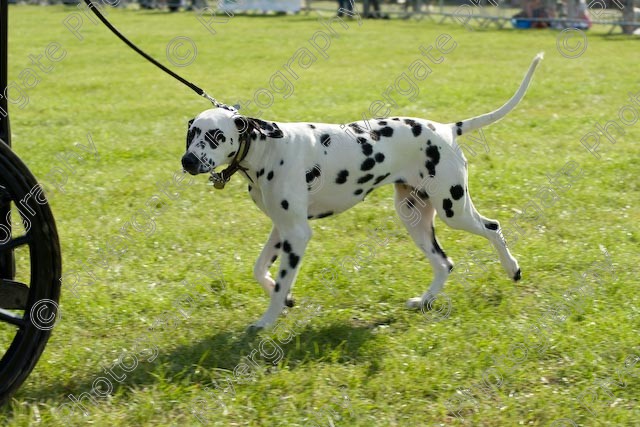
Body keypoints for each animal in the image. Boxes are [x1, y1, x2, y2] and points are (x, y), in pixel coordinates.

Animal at [182, 53, 544, 332]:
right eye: (192, 134)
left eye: (215, 136)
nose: (187, 161)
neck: (268, 149)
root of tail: (447, 129)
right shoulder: (281, 229)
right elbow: (260, 270)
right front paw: (284, 299)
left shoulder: (297, 234)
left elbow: (282, 280)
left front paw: (267, 320)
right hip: (415, 217)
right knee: (444, 263)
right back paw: (424, 301)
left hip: (453, 210)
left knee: (493, 228)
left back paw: (512, 269)